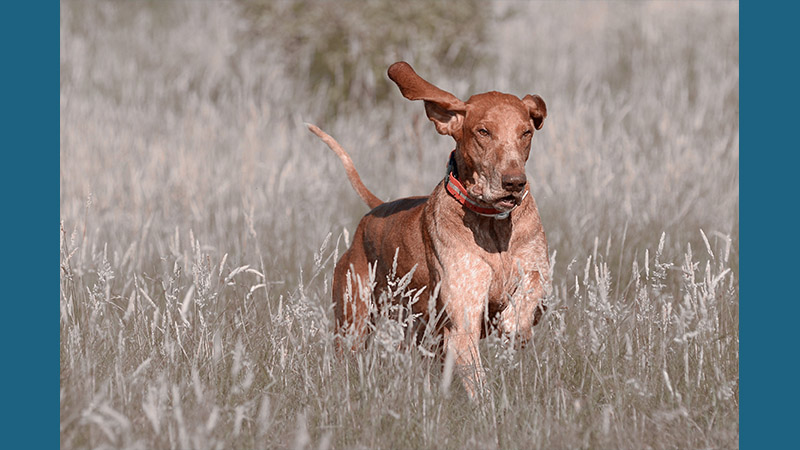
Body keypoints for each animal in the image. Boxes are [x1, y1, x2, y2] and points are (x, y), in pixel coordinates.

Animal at [306, 60, 552, 398]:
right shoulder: (463, 323)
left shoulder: (535, 283)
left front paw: (516, 324)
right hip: (353, 323)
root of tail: (374, 210)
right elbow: (478, 384)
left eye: (525, 132)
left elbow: (533, 286)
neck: (493, 226)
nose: (514, 183)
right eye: (483, 131)